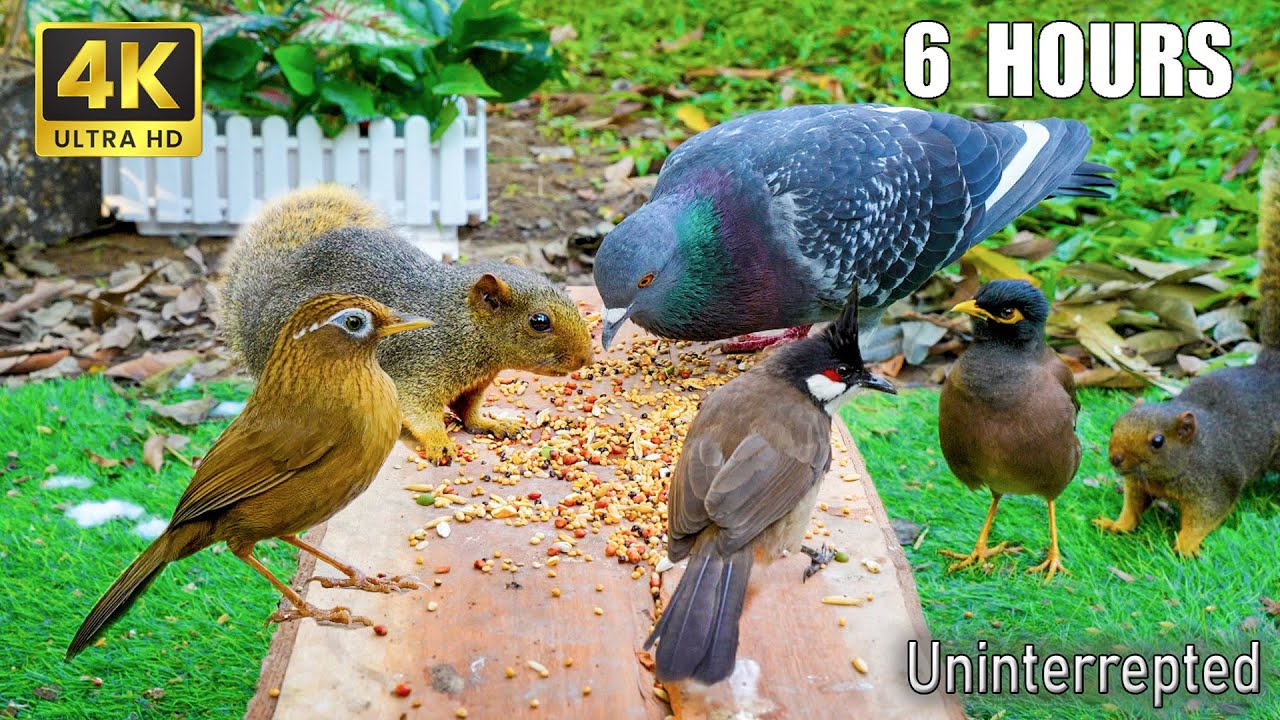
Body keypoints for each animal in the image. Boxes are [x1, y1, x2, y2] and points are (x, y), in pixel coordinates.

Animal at [218, 184, 594, 463]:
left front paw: (493, 423)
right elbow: (418, 410)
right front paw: (439, 442)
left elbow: (468, 411)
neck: (462, 325)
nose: (585, 359)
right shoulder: (417, 369)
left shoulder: (473, 384)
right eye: (539, 321)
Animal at [1094, 149, 1280, 556]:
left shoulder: (1214, 483)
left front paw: (1186, 546)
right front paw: (1115, 524)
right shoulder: (1138, 483)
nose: (1116, 459)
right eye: (1114, 425)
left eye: (1158, 442)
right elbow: (1132, 507)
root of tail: (1270, 369)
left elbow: (1204, 517)